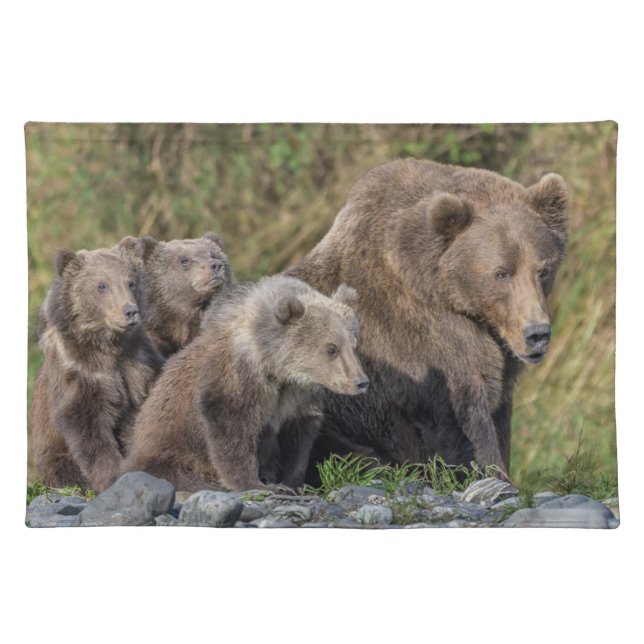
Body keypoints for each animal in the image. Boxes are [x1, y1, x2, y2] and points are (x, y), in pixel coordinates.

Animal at [30, 240, 165, 492]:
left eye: (130, 282)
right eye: (101, 285)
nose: (130, 311)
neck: (108, 345)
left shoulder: (138, 361)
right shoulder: (81, 372)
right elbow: (87, 426)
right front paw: (112, 476)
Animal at [121, 275, 368, 493]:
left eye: (354, 344)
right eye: (331, 348)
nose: (361, 382)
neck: (274, 367)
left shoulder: (296, 396)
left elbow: (298, 438)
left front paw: (292, 482)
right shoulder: (238, 376)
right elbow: (231, 427)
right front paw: (257, 484)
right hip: (169, 453)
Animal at [285, 158, 569, 481]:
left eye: (543, 269)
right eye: (501, 273)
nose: (537, 333)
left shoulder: (500, 352)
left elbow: (499, 413)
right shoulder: (422, 341)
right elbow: (465, 417)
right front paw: (491, 473)